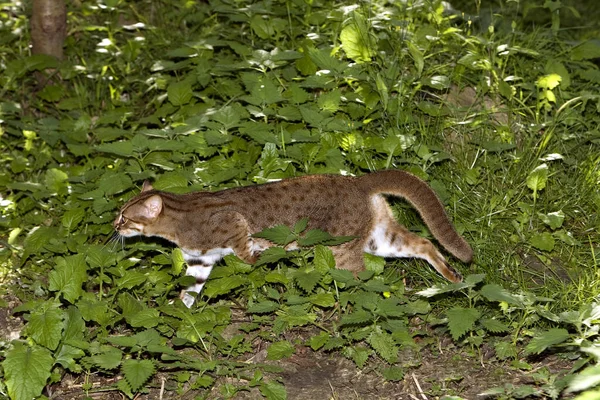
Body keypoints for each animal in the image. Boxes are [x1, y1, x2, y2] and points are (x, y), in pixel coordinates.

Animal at [115, 170, 472, 308]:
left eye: (124, 216)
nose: (113, 227)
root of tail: (359, 180)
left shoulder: (235, 227)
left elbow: (249, 255)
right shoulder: (199, 261)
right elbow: (188, 292)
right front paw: (179, 316)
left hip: (342, 250)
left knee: (363, 279)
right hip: (380, 238)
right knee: (424, 244)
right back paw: (454, 278)